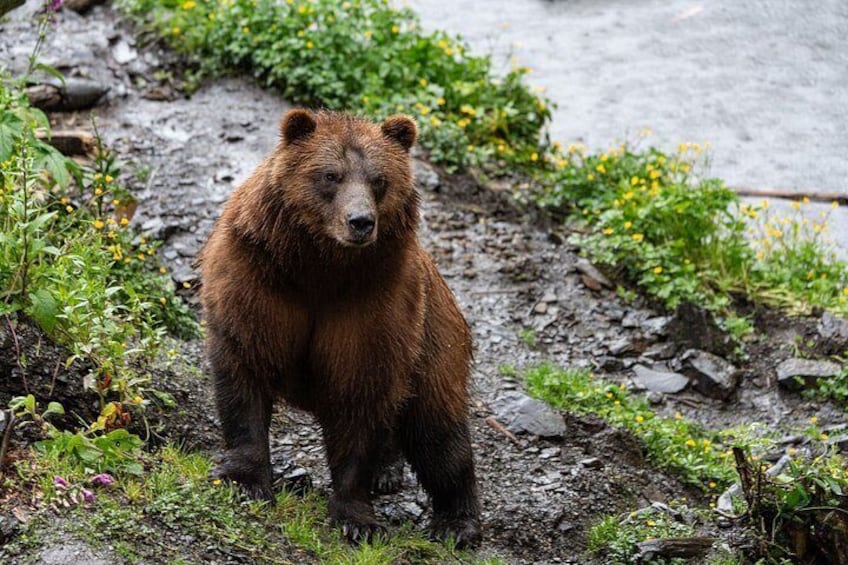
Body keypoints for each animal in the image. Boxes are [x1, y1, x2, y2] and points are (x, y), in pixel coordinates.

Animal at [197, 109, 481, 548]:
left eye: (379, 179)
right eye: (330, 175)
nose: (361, 222)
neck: (320, 267)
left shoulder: (372, 307)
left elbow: (359, 395)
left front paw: (356, 518)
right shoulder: (259, 279)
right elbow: (245, 370)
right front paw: (245, 480)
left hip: (434, 339)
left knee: (438, 430)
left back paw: (456, 521)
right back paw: (391, 471)